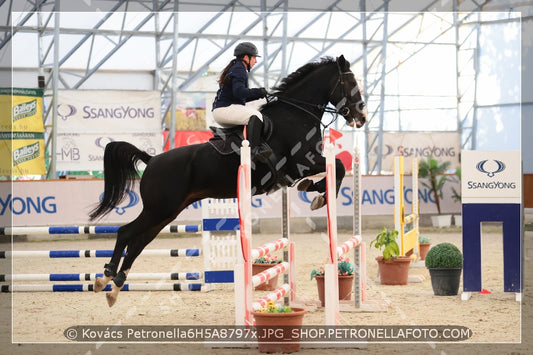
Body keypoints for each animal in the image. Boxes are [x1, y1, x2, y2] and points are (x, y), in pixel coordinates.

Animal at [89, 55, 368, 306]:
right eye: (350, 82)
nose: (362, 116)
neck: (296, 114)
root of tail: (152, 159)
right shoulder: (300, 163)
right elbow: (339, 167)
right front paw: (319, 195)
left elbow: (337, 169)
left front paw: (316, 191)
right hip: (159, 209)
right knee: (126, 233)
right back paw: (106, 277)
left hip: (166, 213)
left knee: (138, 242)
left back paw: (114, 287)